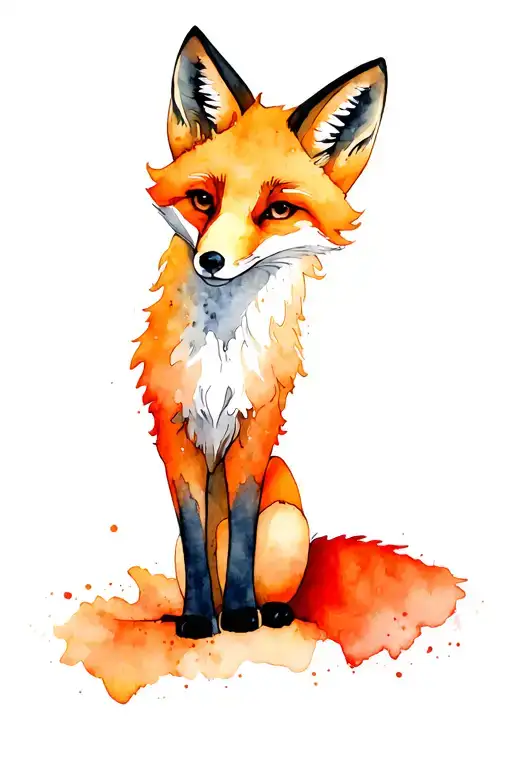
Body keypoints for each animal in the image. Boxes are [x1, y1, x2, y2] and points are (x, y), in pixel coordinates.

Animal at [131, 26, 387, 639]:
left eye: (277, 210)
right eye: (204, 199)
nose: (212, 261)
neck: (222, 354)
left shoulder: (257, 425)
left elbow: (242, 530)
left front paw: (241, 613)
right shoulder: (174, 430)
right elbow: (197, 538)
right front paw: (199, 618)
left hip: (289, 520)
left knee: (275, 574)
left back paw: (270, 610)